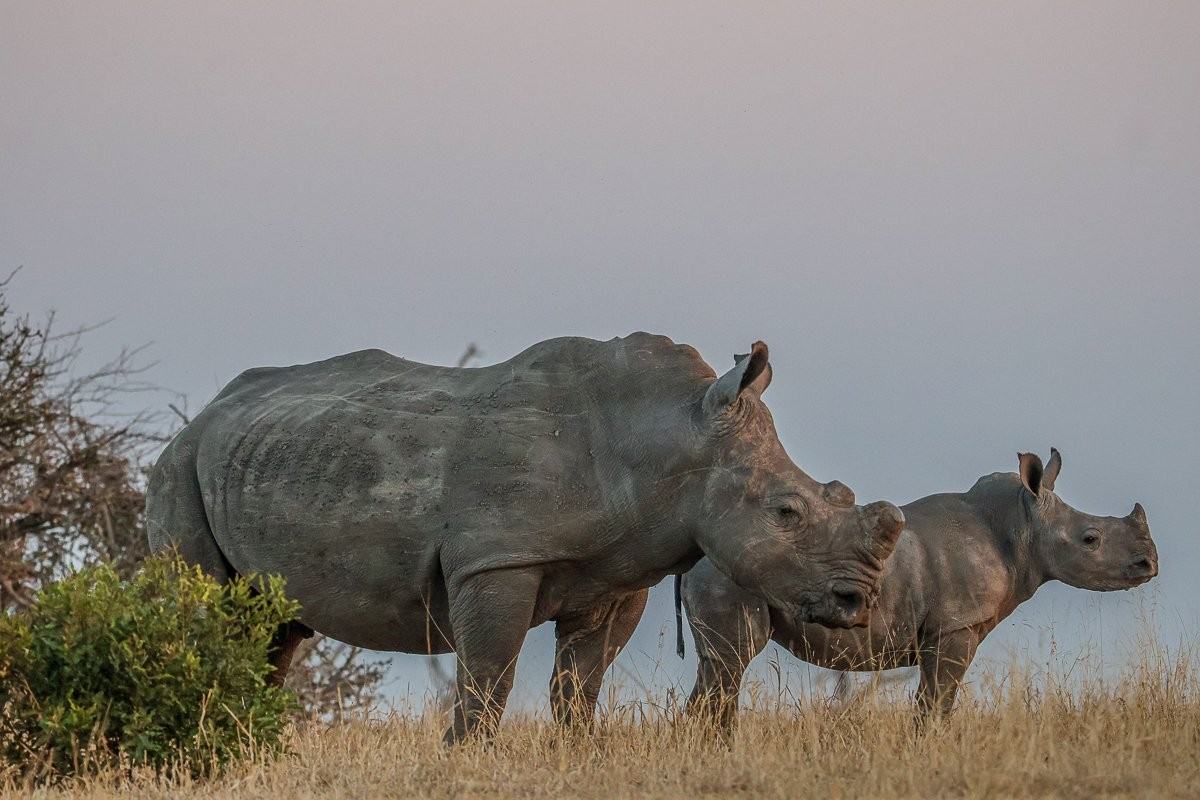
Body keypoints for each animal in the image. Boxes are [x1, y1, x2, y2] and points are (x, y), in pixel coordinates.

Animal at [145, 333, 906, 742]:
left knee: (274, 629)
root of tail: (205, 413)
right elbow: (489, 674)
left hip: (264, 458)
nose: (857, 601)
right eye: (787, 513)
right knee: (209, 607)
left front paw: (580, 753)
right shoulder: (495, 560)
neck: (669, 436)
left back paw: (251, 744)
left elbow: (580, 683)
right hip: (177, 468)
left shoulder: (616, 575)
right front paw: (462, 757)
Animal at [679, 449, 1158, 732]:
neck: (1022, 525)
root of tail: (697, 551)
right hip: (730, 576)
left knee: (717, 666)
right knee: (733, 661)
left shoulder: (947, 628)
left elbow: (934, 699)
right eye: (1090, 539)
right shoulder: (954, 626)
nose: (1149, 565)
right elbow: (938, 699)